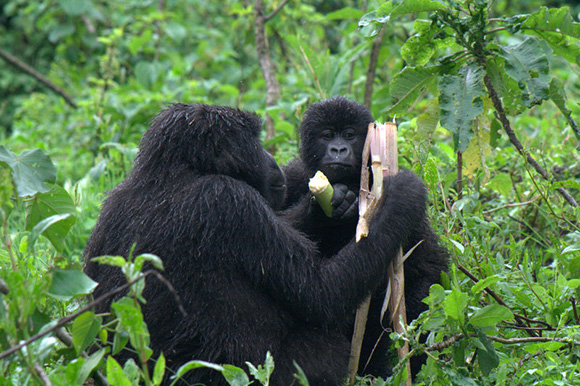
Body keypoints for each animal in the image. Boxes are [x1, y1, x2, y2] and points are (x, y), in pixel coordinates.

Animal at [84, 102, 428, 386]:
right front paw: (399, 199)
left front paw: (329, 207)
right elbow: (322, 293)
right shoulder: (231, 200)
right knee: (323, 348)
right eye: (253, 143)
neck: (169, 174)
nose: (271, 158)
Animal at [280, 95, 448, 378]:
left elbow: (426, 274)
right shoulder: (291, 176)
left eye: (349, 135)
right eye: (327, 135)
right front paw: (328, 205)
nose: (338, 149)